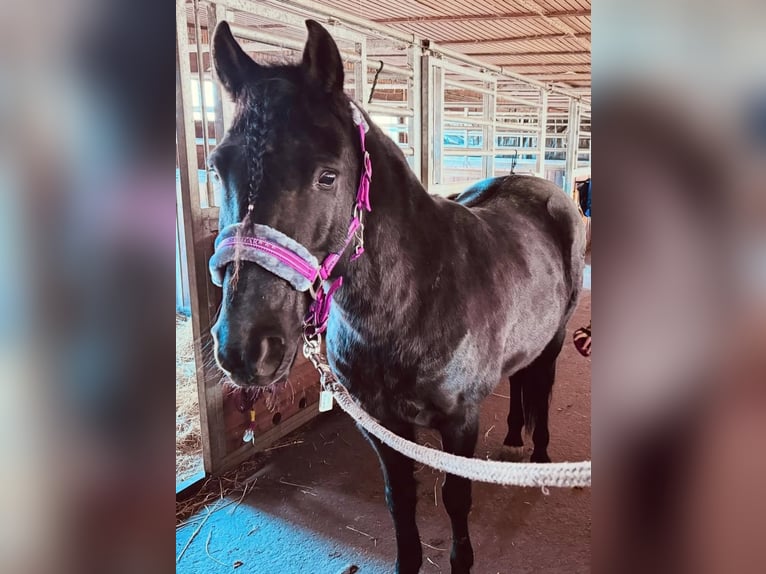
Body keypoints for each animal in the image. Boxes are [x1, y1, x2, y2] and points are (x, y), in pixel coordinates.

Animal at [207, 20, 584, 572]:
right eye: (217, 167)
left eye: (327, 175)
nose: (245, 347)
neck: (413, 302)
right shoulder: (383, 425)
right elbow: (399, 500)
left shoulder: (460, 422)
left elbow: (456, 498)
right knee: (519, 380)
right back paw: (515, 438)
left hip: (555, 340)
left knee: (542, 384)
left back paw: (537, 460)